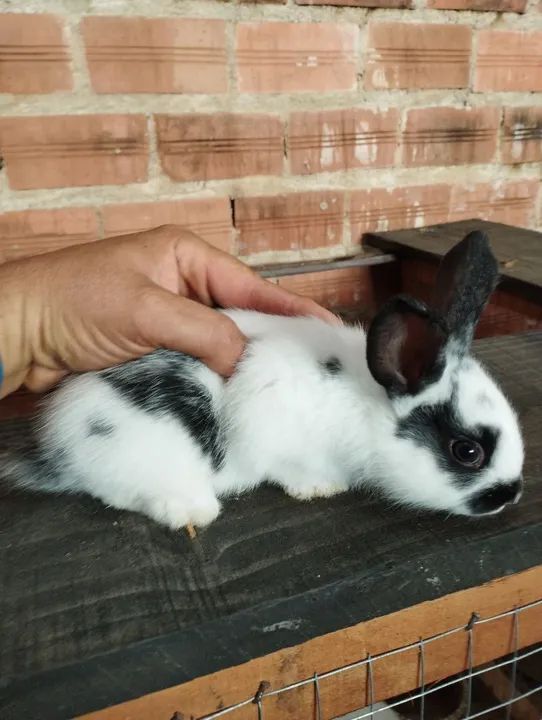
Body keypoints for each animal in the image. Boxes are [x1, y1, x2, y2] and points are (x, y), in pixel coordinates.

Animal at [1, 230, 524, 530]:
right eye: (467, 452)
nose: (511, 495)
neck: (365, 402)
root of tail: (58, 450)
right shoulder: (273, 429)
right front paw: (319, 488)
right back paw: (193, 510)